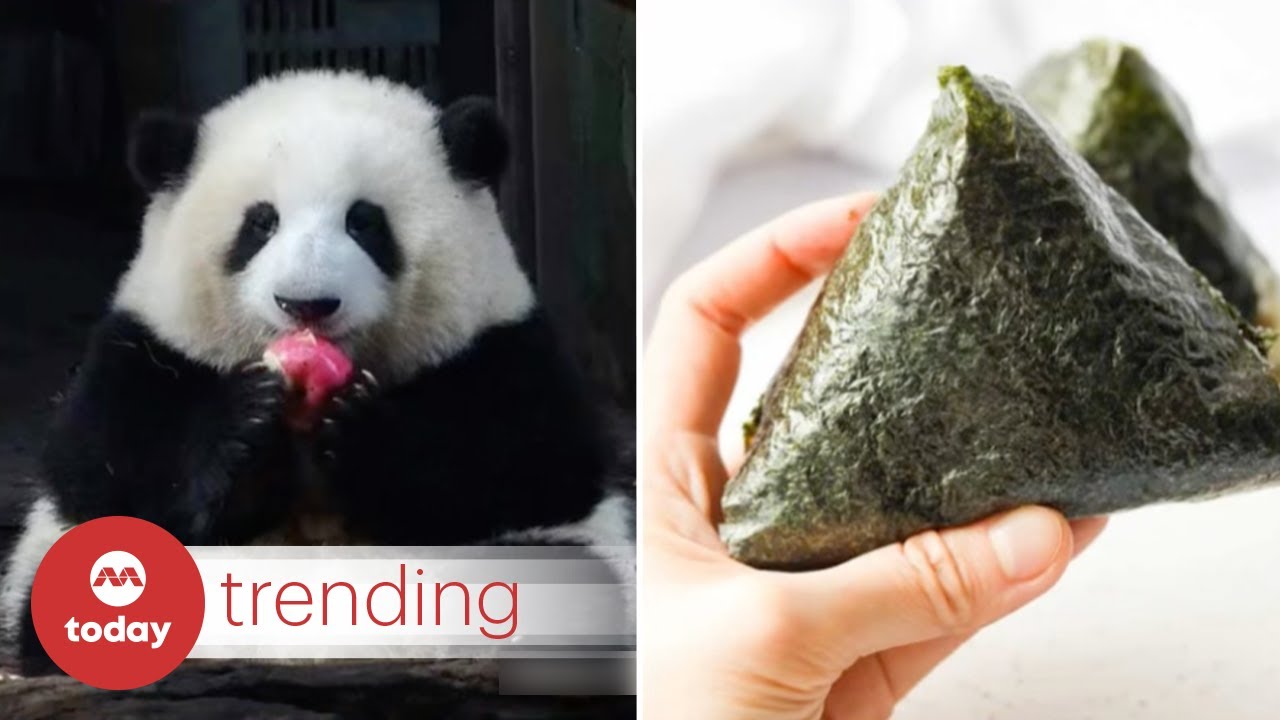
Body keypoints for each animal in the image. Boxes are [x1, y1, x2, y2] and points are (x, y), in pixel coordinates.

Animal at [0, 71, 634, 674]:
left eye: (364, 222)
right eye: (260, 224)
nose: (306, 303)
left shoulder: (503, 349)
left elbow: (535, 460)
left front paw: (362, 431)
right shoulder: (145, 348)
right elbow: (106, 466)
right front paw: (247, 426)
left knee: (573, 582)